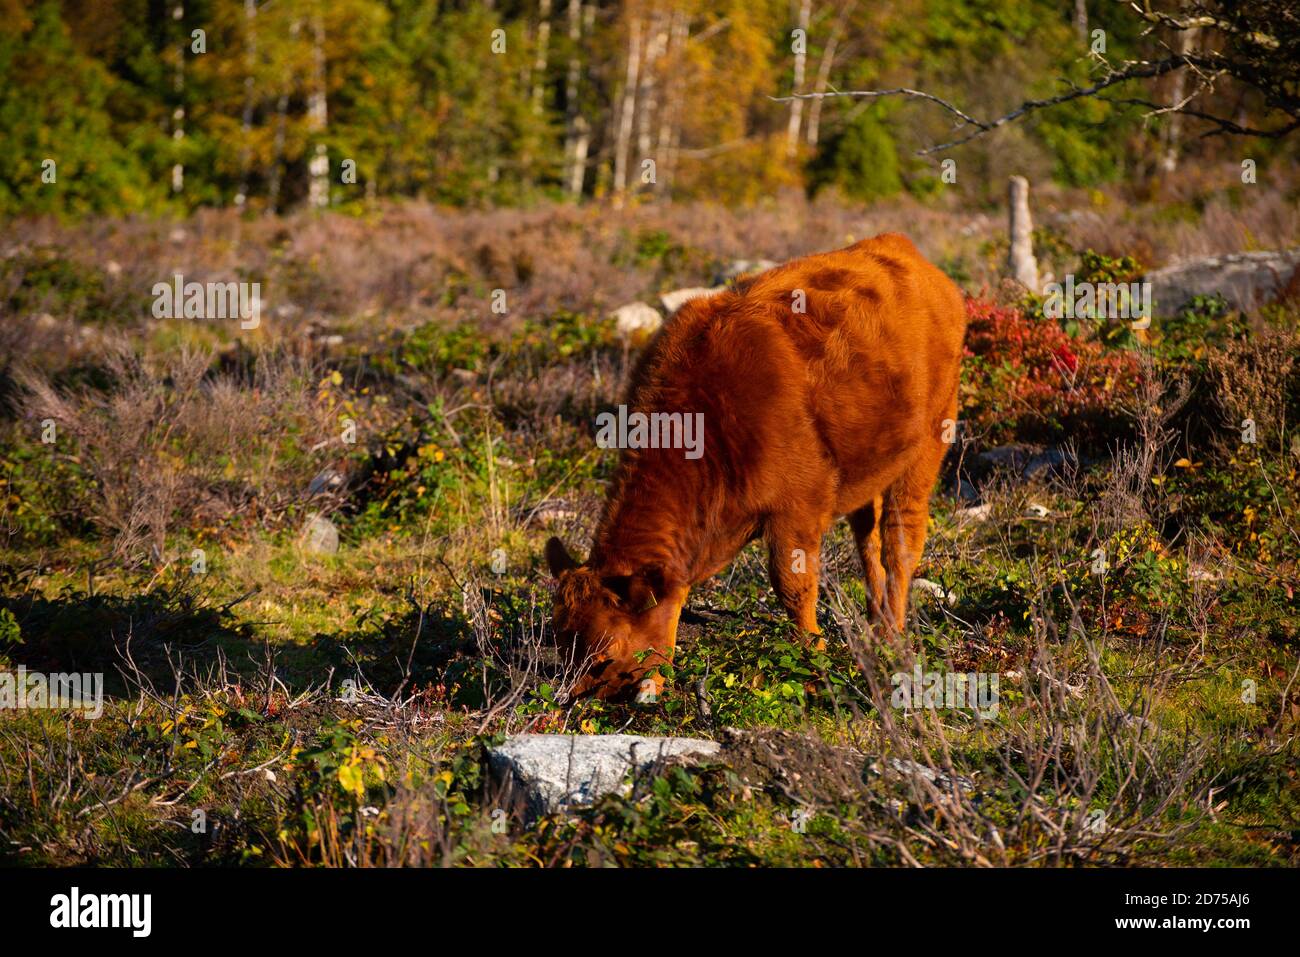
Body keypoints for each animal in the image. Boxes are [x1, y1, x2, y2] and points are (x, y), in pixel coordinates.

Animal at [545, 233, 967, 700]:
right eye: (561, 643)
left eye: (604, 656)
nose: (572, 702)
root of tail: (904, 250)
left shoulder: (799, 508)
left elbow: (793, 587)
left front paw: (812, 663)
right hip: (873, 464)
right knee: (868, 540)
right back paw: (875, 627)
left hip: (930, 441)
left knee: (901, 539)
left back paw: (892, 635)